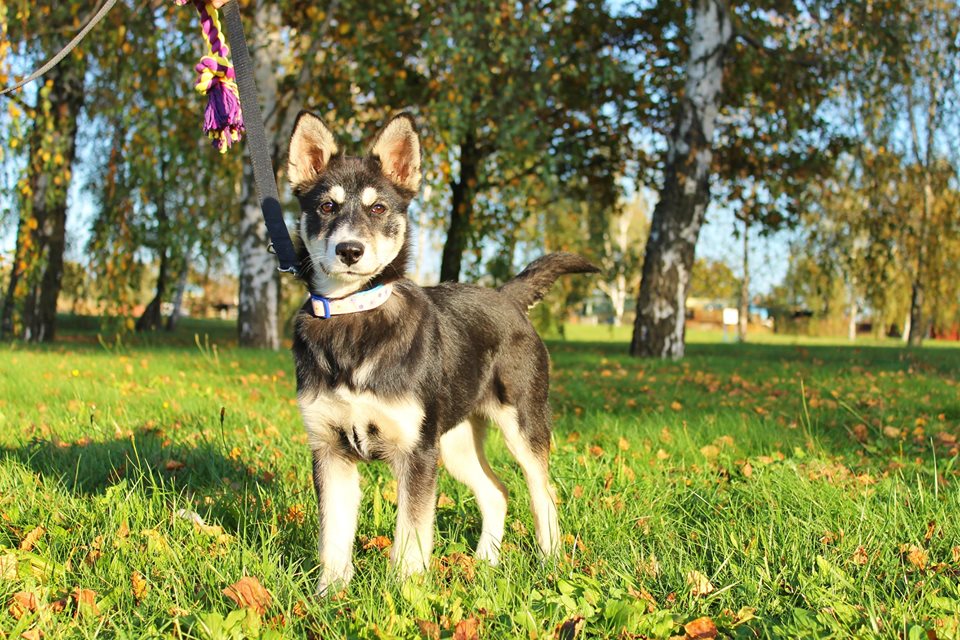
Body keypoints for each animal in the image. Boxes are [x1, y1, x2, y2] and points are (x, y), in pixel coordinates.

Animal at [286, 111, 600, 596]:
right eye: (326, 207)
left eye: (378, 208)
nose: (350, 251)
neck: (353, 317)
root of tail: (507, 298)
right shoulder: (330, 449)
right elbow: (333, 537)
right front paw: (328, 597)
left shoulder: (416, 455)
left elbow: (412, 535)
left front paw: (407, 593)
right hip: (454, 441)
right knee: (497, 492)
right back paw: (486, 561)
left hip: (522, 425)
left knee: (543, 494)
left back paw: (551, 563)